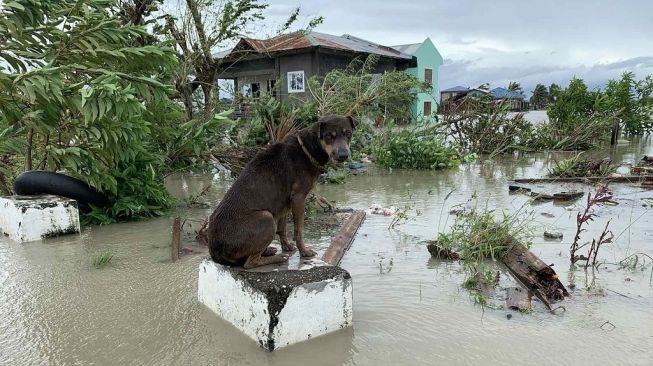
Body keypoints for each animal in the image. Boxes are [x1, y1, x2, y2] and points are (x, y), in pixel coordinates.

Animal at [208, 115, 354, 268]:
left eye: (348, 134)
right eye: (329, 136)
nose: (344, 155)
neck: (307, 149)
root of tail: (215, 252)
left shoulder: (286, 203)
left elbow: (282, 228)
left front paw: (287, 246)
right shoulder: (298, 198)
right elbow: (298, 231)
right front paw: (304, 252)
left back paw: (268, 250)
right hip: (266, 217)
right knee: (250, 262)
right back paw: (278, 257)